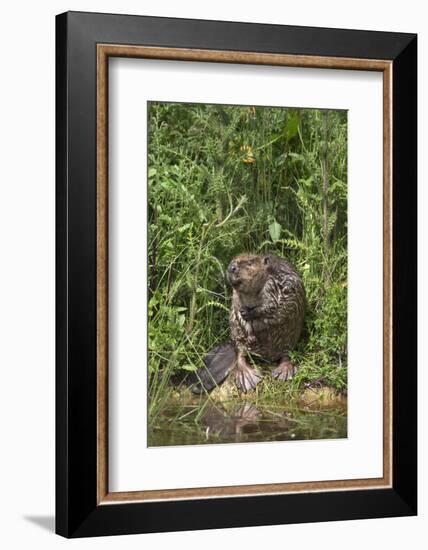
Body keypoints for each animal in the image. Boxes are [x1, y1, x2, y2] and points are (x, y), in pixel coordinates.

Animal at [192, 254, 306, 392]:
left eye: (250, 263)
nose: (232, 267)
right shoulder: (236, 296)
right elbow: (237, 311)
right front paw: (250, 333)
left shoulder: (273, 285)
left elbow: (273, 306)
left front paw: (250, 313)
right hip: (237, 339)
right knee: (241, 355)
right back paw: (247, 377)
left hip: (289, 340)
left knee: (286, 355)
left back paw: (283, 372)